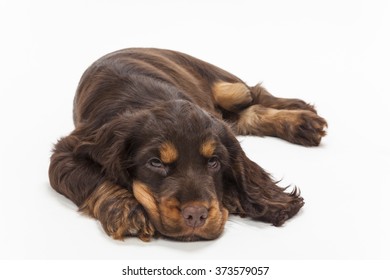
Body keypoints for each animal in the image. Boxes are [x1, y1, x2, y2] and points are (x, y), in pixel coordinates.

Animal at [50, 48, 328, 241]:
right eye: (156, 163)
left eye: (214, 162)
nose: (196, 216)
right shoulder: (68, 151)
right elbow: (95, 178)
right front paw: (126, 209)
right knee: (248, 114)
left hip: (228, 88)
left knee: (255, 95)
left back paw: (303, 117)